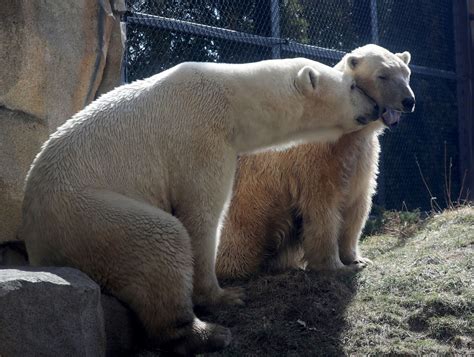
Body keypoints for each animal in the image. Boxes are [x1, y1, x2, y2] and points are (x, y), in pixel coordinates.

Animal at [19, 58, 382, 354]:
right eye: (352, 85)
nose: (377, 107)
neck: (234, 101)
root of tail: (35, 243)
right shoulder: (200, 139)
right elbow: (202, 217)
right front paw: (225, 296)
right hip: (83, 215)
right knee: (158, 239)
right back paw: (207, 333)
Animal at [216, 44, 414, 276]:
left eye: (406, 73)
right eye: (382, 75)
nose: (408, 101)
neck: (346, 135)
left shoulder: (363, 156)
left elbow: (356, 205)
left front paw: (358, 259)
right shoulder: (316, 161)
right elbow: (323, 210)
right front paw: (335, 266)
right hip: (249, 200)